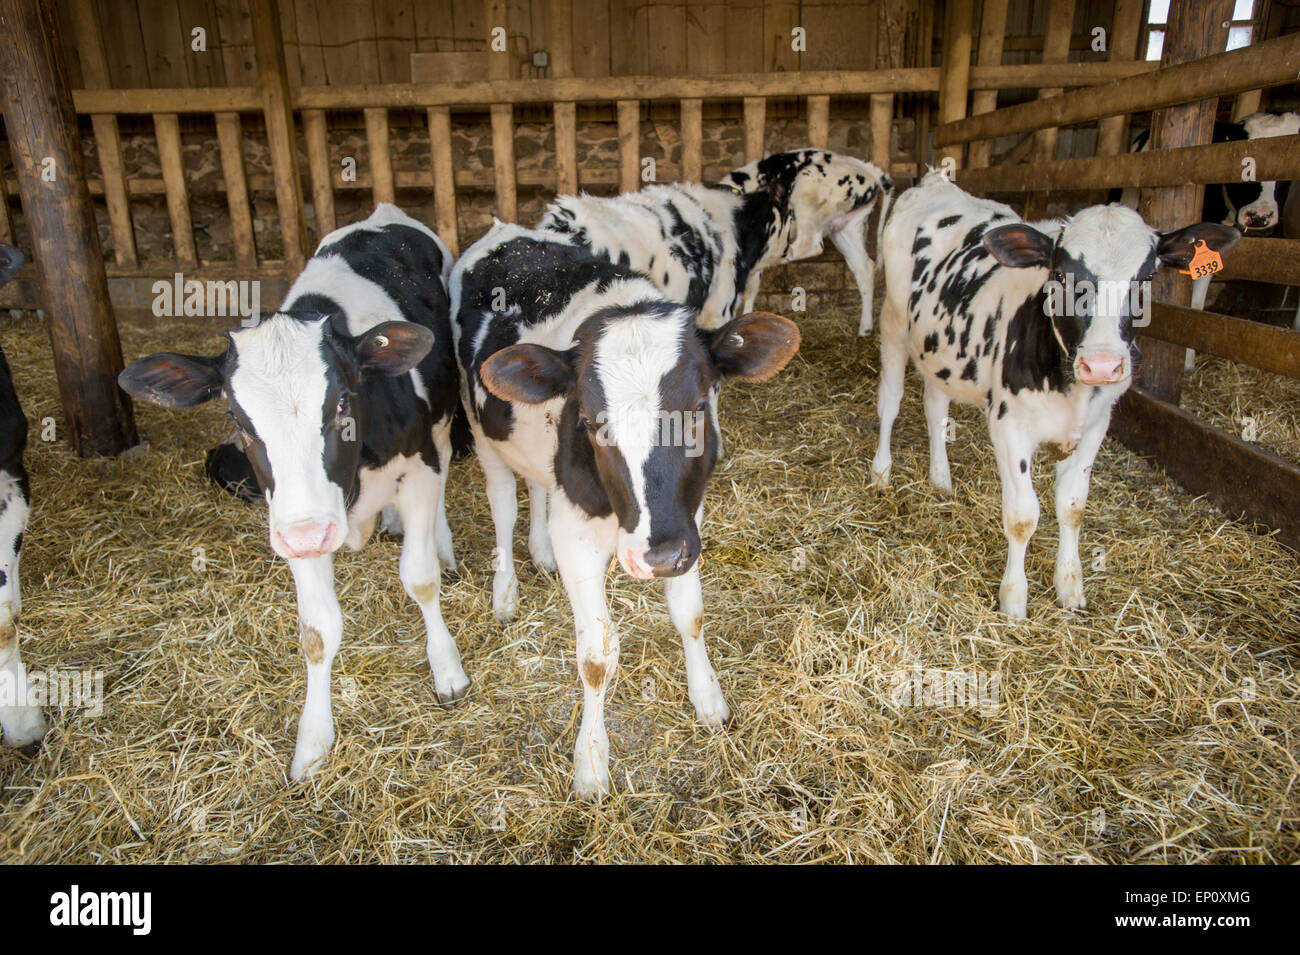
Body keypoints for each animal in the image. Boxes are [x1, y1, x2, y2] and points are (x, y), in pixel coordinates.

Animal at [118, 204, 470, 780]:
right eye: (237, 420)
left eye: (343, 401)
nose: (310, 536)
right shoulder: (292, 519)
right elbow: (317, 630)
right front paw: (312, 740)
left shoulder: (417, 469)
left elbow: (420, 580)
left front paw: (446, 668)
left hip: (440, 421)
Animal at [451, 220, 800, 798]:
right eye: (593, 422)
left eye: (699, 407)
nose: (656, 557)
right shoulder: (579, 537)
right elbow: (596, 658)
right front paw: (591, 762)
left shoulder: (687, 523)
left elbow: (690, 614)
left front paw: (708, 699)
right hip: (483, 432)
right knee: (503, 505)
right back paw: (506, 591)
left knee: (539, 486)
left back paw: (539, 552)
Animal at [873, 172, 1238, 618]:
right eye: (1061, 275)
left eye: (1147, 279)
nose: (1102, 364)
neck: (1070, 388)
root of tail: (936, 182)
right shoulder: (1009, 425)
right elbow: (1022, 515)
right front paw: (1014, 599)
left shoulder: (1097, 425)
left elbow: (1073, 506)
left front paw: (1070, 587)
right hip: (894, 323)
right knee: (891, 401)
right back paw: (881, 472)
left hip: (940, 350)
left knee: (935, 406)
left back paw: (940, 479)